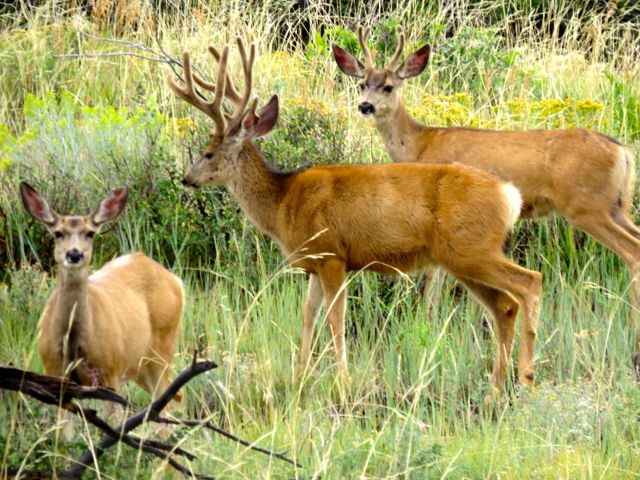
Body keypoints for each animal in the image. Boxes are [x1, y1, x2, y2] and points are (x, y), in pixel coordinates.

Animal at [20, 182, 184, 410]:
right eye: (58, 233)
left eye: (90, 233)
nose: (74, 254)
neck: (73, 343)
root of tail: (176, 280)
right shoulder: (56, 375)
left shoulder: (110, 371)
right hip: (139, 365)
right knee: (174, 396)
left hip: (162, 348)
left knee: (169, 399)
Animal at [168, 35, 544, 392]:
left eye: (208, 152)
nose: (186, 178)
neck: (284, 202)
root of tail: (508, 195)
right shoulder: (315, 264)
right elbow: (308, 315)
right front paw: (300, 374)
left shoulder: (333, 255)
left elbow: (336, 319)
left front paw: (343, 380)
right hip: (460, 257)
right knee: (505, 306)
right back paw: (496, 387)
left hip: (471, 248)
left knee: (530, 282)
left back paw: (525, 377)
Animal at [332, 27, 640, 316]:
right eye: (362, 84)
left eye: (388, 87)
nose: (365, 106)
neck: (419, 145)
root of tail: (622, 151)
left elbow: (432, 279)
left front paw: (428, 320)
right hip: (615, 206)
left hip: (586, 206)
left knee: (631, 251)